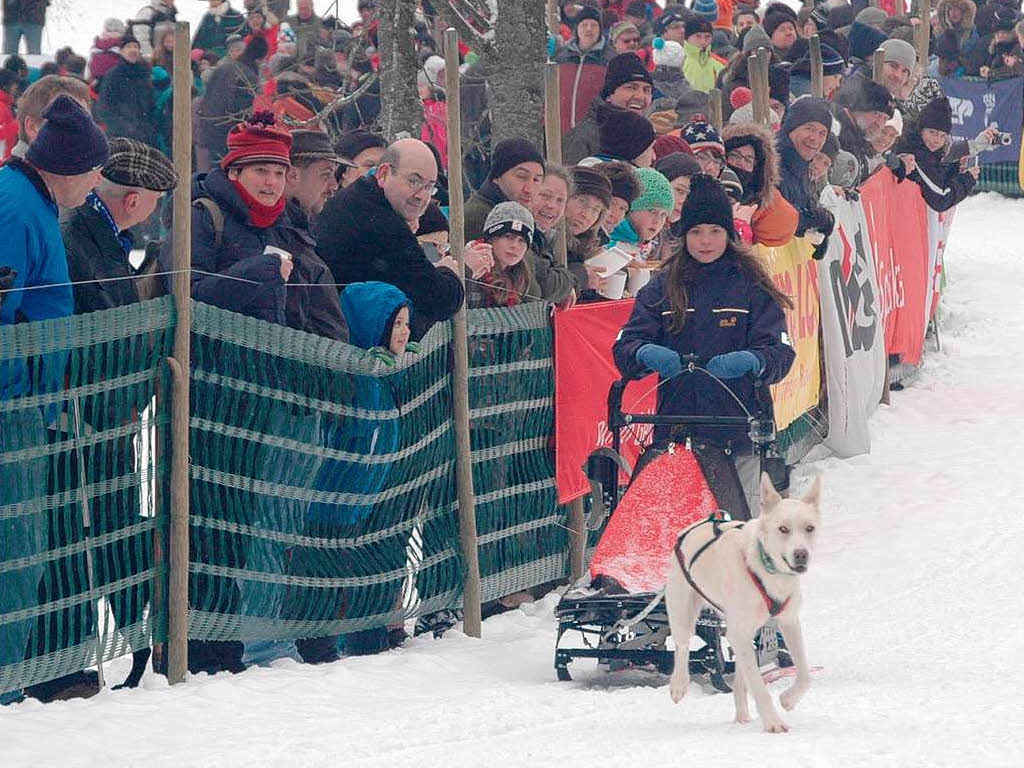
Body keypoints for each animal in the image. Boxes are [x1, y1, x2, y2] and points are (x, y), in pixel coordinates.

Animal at [663, 475, 823, 733]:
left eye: (809, 528)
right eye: (783, 529)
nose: (801, 554)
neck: (766, 571)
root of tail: (695, 525)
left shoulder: (789, 623)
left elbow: (805, 675)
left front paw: (788, 700)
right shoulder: (740, 632)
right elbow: (760, 687)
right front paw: (773, 722)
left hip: (742, 633)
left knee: (740, 678)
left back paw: (742, 716)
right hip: (683, 611)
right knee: (682, 645)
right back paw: (679, 684)